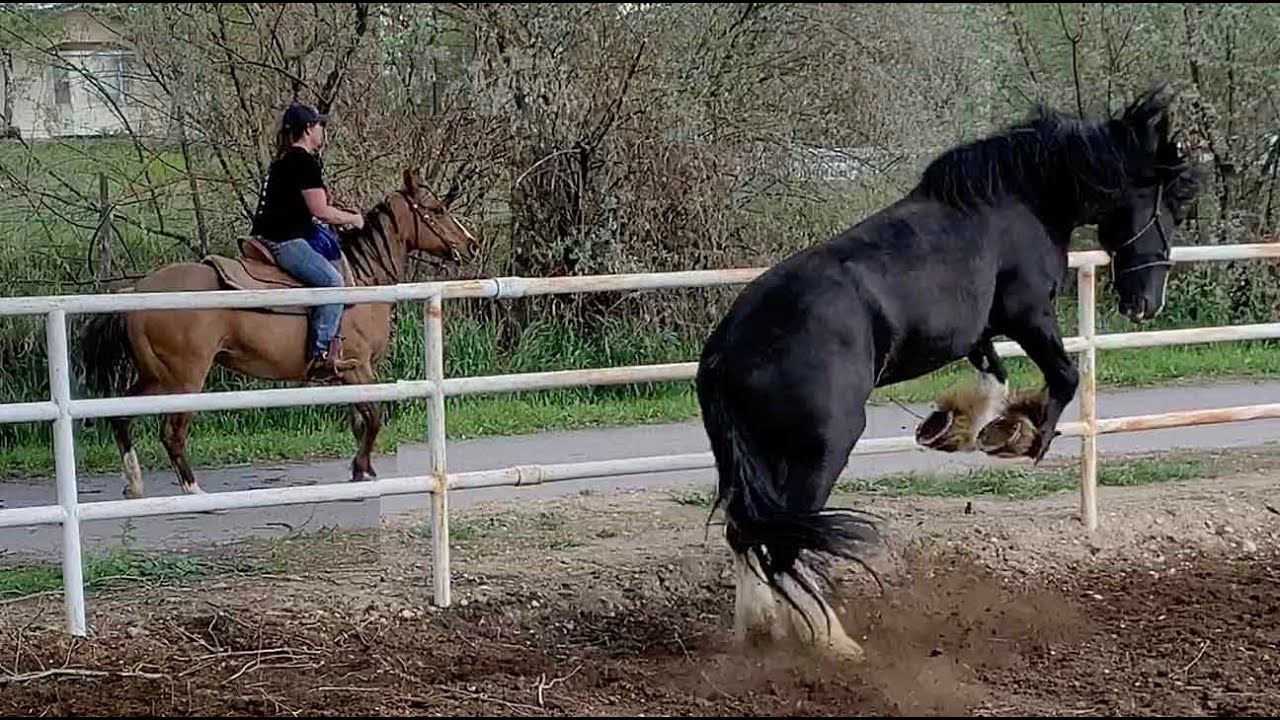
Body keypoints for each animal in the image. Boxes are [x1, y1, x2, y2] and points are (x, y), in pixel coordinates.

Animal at [79, 169, 477, 500]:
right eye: (437, 208)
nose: (471, 244)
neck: (362, 280)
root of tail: (136, 292)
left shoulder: (347, 375)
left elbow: (359, 421)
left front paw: (361, 470)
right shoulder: (358, 367)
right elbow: (375, 417)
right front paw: (361, 468)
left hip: (155, 376)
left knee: (122, 417)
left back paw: (134, 484)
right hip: (184, 379)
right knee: (171, 433)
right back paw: (193, 490)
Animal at [694, 84, 1201, 662]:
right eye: (1177, 201)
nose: (1148, 303)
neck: (1016, 202)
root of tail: (724, 354)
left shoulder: (980, 329)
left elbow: (995, 376)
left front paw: (959, 428)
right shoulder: (1027, 312)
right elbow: (1064, 377)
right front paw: (1023, 437)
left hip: (754, 457)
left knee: (746, 532)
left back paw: (760, 630)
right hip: (821, 449)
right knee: (780, 545)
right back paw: (833, 641)